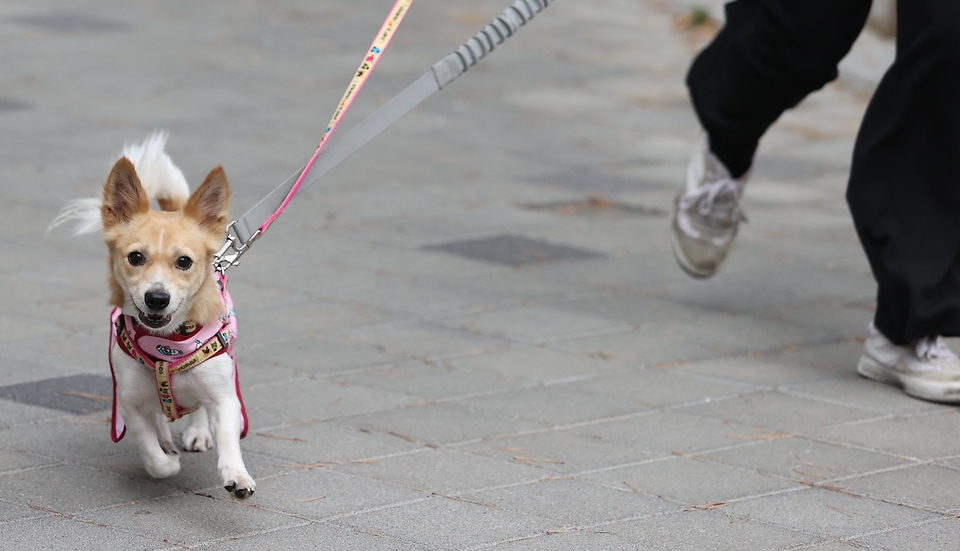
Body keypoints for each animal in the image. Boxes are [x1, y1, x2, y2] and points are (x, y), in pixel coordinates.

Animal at [51, 135, 255, 500]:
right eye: (135, 257)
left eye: (184, 262)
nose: (157, 298)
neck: (168, 345)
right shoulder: (129, 403)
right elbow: (151, 452)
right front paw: (167, 460)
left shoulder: (225, 398)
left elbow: (228, 438)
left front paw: (237, 475)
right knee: (159, 418)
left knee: (198, 410)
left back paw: (198, 432)